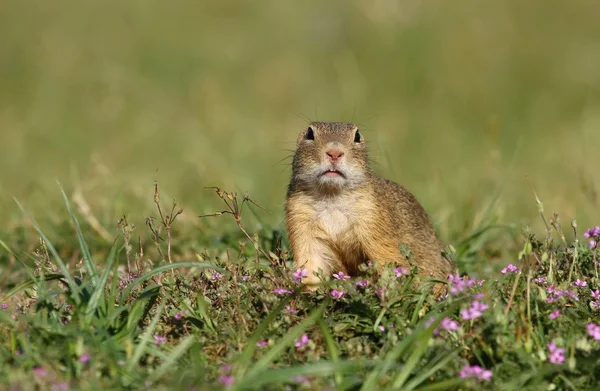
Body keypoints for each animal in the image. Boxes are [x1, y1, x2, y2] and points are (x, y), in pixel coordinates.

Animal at [284, 122, 452, 294]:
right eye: (309, 134)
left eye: (357, 136)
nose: (334, 153)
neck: (332, 197)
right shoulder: (300, 219)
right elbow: (310, 261)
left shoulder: (374, 221)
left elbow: (388, 259)